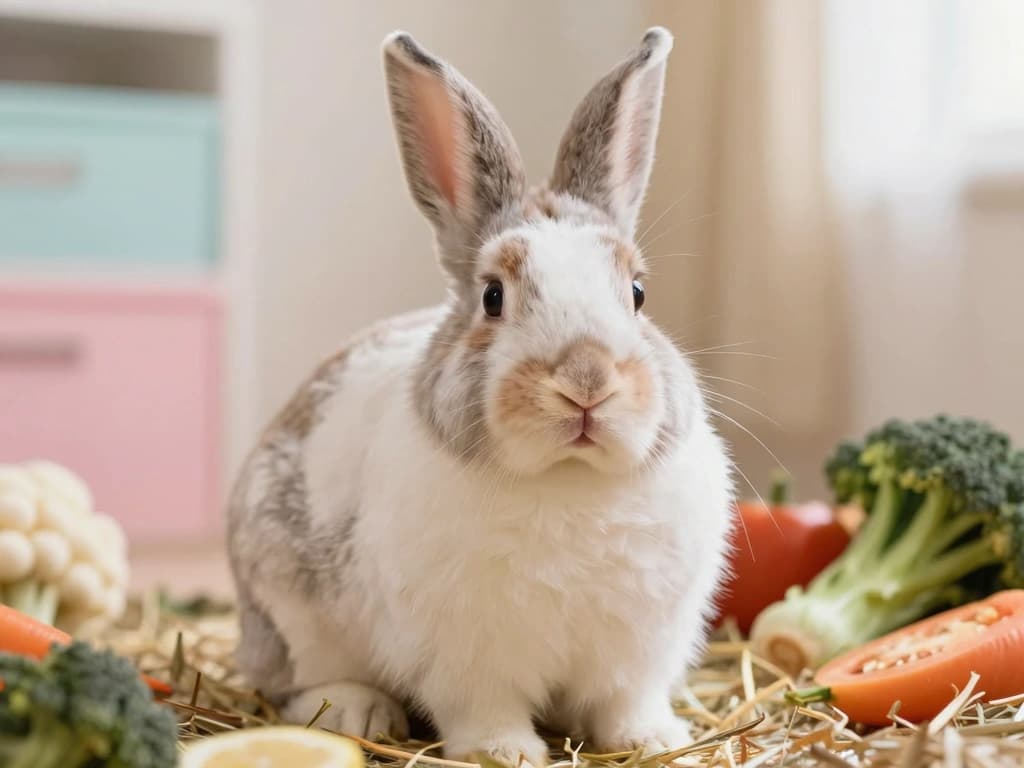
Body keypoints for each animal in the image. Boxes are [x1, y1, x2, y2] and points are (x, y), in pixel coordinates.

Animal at [227, 26, 734, 767]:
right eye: (493, 296)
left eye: (639, 293)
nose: (586, 380)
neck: (567, 482)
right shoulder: (466, 658)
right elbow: (484, 710)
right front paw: (507, 752)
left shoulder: (638, 651)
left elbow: (625, 702)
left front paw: (654, 739)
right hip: (290, 612)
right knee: (299, 683)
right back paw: (358, 710)